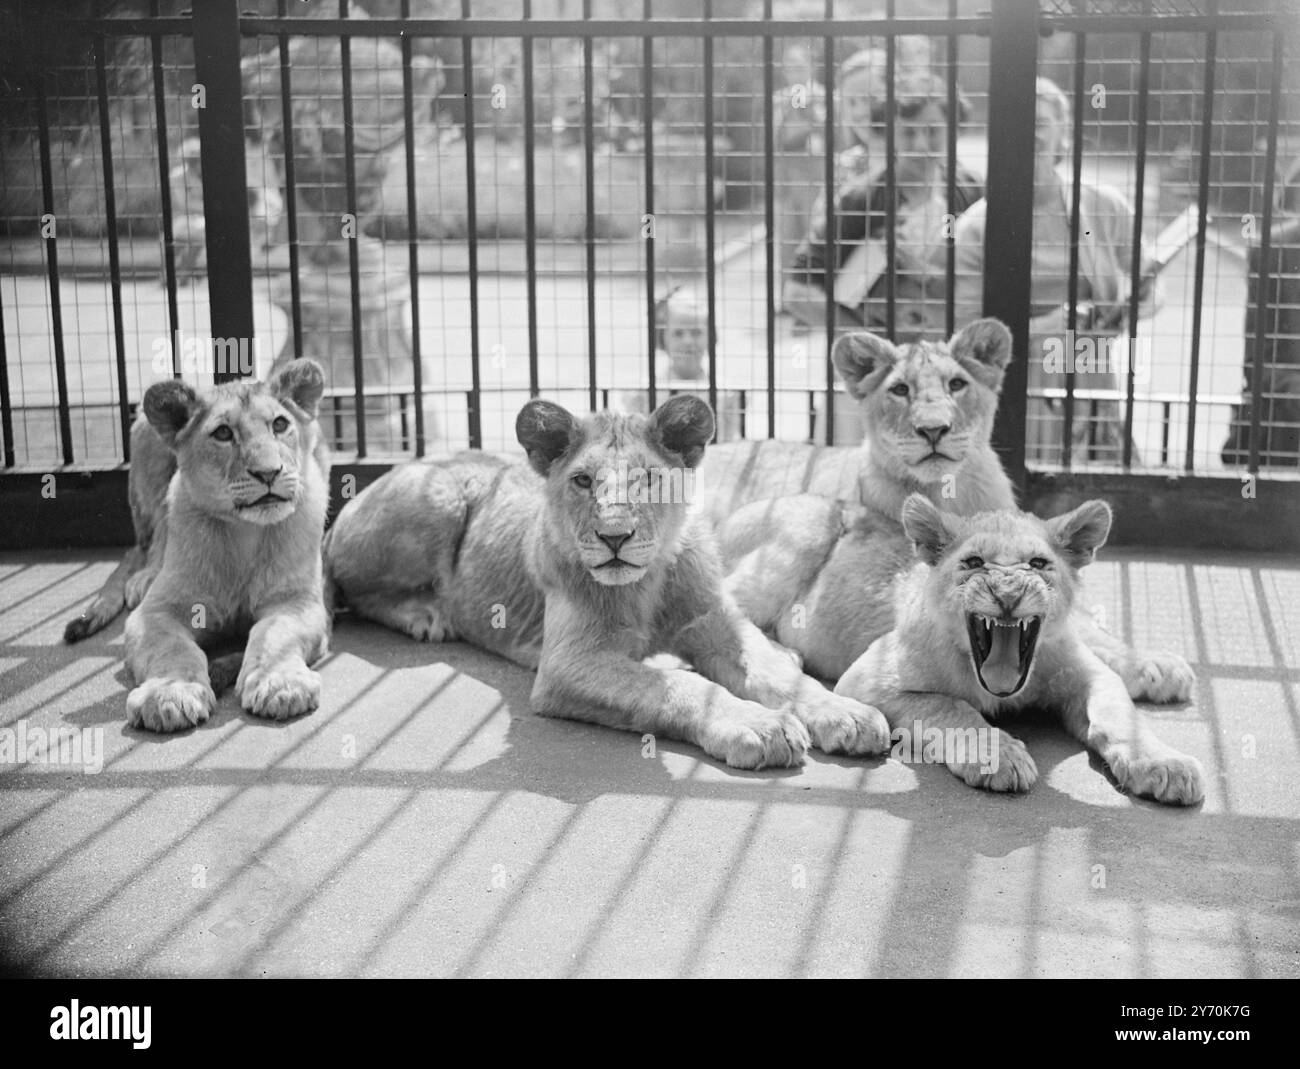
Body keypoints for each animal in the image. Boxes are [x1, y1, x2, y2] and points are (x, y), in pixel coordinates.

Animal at [66, 361, 332, 733]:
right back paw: (144, 577)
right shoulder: (156, 612)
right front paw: (170, 694)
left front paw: (280, 684)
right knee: (143, 546)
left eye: (280, 425)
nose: (269, 473)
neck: (244, 533)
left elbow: (275, 634)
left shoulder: (297, 602)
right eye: (222, 433)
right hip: (147, 442)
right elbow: (173, 649)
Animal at [323, 395, 890, 770]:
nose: (614, 536)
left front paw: (847, 713)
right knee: (347, 585)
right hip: (439, 497)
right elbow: (683, 687)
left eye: (649, 479)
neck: (649, 582)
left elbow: (781, 676)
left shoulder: (715, 623)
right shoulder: (565, 665)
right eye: (582, 481)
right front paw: (758, 725)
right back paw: (425, 614)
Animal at [705, 318, 1194, 702]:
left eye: (957, 384)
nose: (933, 429)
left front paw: (1154, 664)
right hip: (805, 528)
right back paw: (781, 653)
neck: (950, 493)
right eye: (899, 390)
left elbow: (1088, 624)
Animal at [835, 494, 1205, 805]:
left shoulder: (1091, 675)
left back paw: (1160, 668)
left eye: (1038, 564)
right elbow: (951, 707)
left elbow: (1120, 714)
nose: (1007, 593)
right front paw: (1000, 757)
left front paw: (1166, 764)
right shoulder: (866, 679)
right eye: (973, 562)